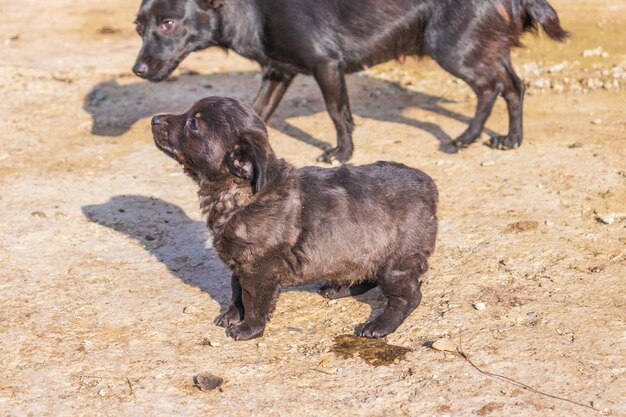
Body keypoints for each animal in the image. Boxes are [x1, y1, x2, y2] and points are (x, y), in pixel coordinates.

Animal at [134, 0, 568, 162]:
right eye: (139, 26)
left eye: (168, 23)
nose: (137, 70)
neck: (251, 10)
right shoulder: (279, 71)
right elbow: (256, 115)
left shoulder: (327, 65)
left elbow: (337, 113)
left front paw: (342, 154)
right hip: (485, 49)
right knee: (513, 86)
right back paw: (501, 138)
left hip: (454, 50)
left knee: (493, 88)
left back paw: (475, 138)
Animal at [151, 96, 436, 338]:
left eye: (193, 123)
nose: (154, 119)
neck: (237, 195)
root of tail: (428, 184)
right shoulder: (241, 262)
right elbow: (235, 291)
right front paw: (231, 315)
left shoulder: (259, 268)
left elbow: (252, 299)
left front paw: (248, 329)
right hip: (363, 252)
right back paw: (339, 289)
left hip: (395, 264)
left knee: (408, 296)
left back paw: (380, 325)